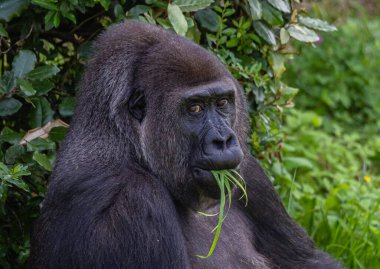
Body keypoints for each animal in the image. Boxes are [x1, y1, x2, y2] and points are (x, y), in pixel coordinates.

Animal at [29, 21, 344, 268]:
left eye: (222, 103)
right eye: (194, 108)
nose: (223, 140)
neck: (123, 145)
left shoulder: (251, 173)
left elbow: (309, 261)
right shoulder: (134, 199)